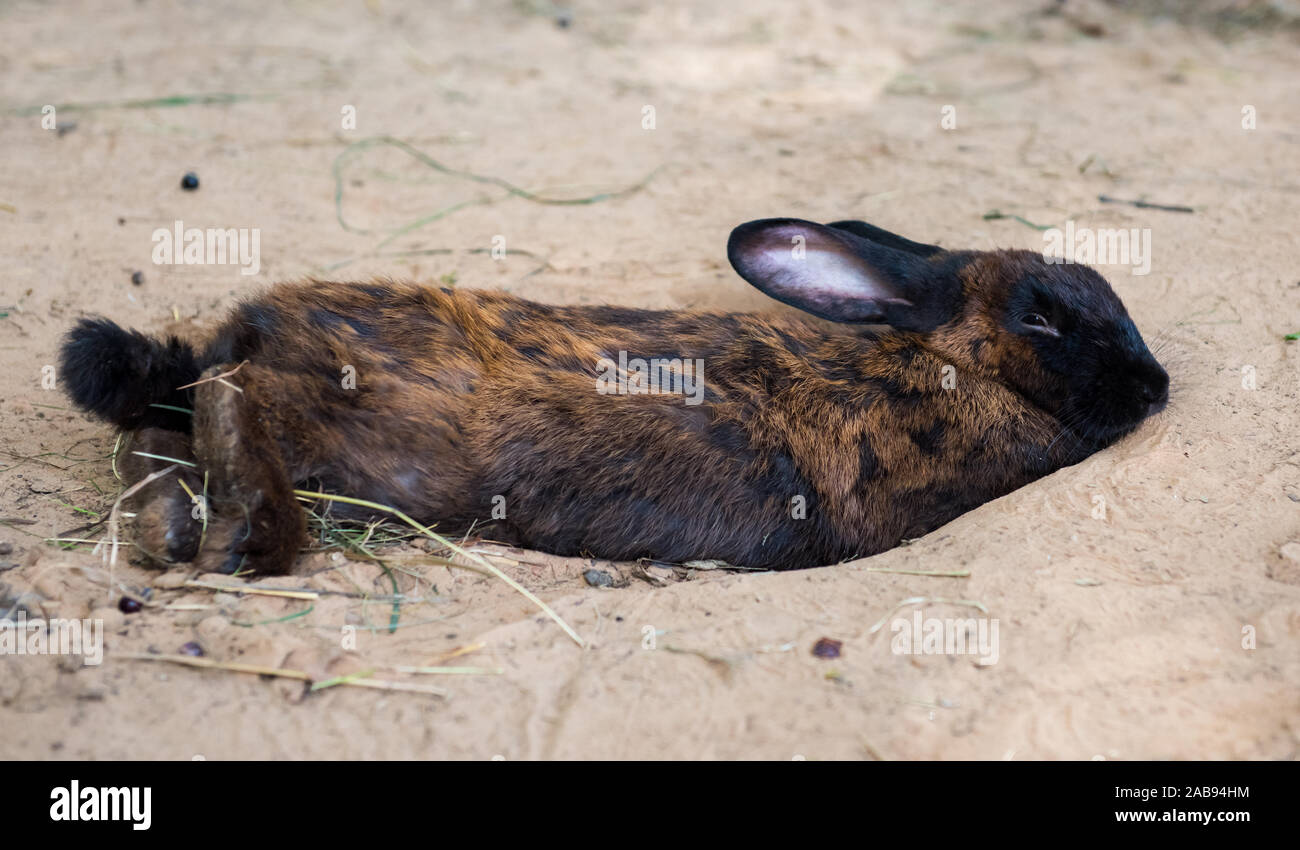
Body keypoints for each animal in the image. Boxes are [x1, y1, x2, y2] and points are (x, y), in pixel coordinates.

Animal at [58, 218, 1169, 575]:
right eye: (1043, 315)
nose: (1156, 387)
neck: (954, 366)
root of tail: (240, 336)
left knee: (156, 434)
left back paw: (169, 527)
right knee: (223, 412)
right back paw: (240, 535)